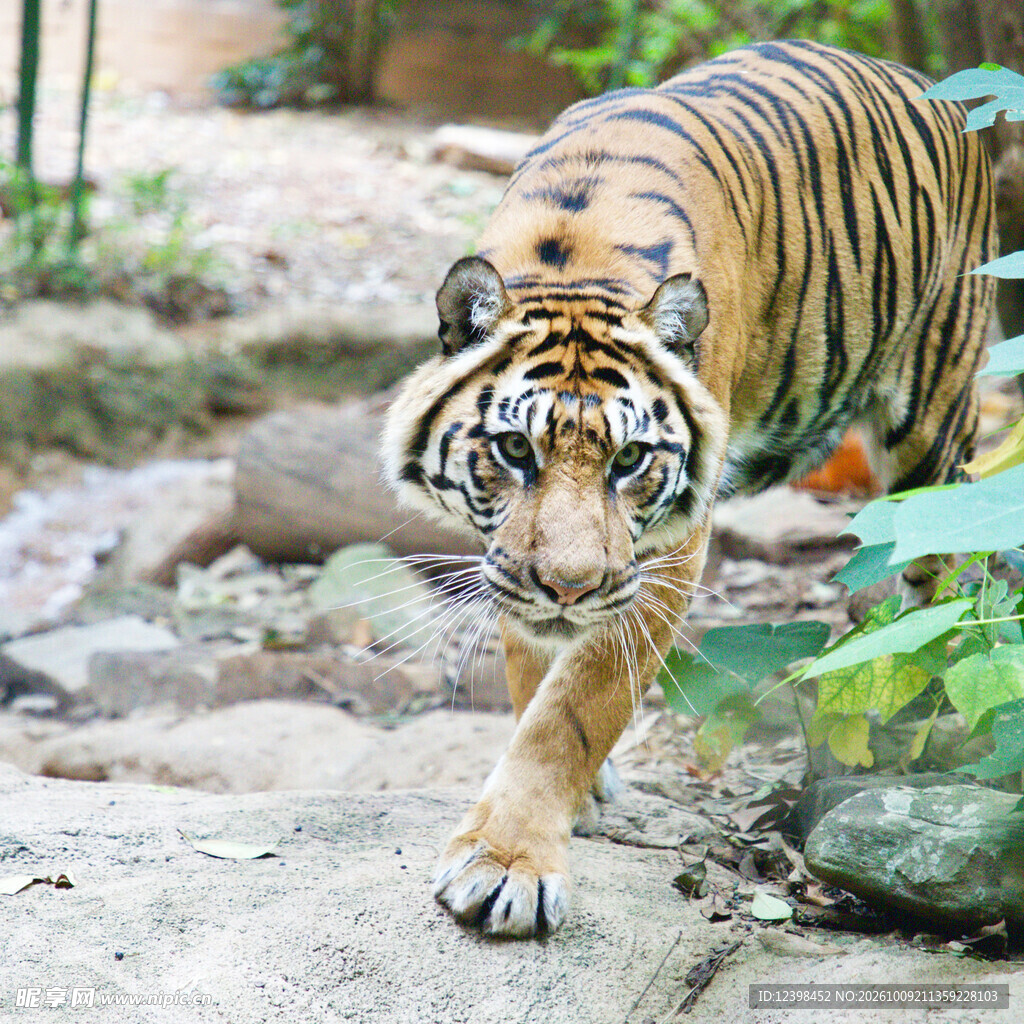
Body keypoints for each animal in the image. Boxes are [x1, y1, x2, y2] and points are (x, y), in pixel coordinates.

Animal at [382, 38, 996, 938]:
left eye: (630, 460)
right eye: (515, 449)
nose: (571, 588)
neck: (576, 257)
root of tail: (925, 80)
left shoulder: (666, 552)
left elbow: (575, 709)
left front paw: (508, 861)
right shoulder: (511, 562)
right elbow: (533, 675)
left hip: (933, 415)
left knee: (942, 584)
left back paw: (917, 724)